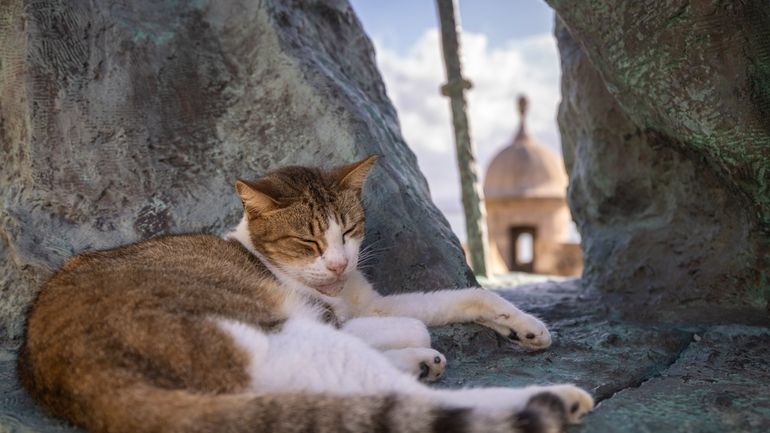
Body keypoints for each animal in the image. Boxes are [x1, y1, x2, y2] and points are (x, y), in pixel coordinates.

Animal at [19, 155, 592, 432]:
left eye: (351, 230)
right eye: (307, 241)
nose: (339, 262)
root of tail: (78, 379)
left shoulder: (368, 300)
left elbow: (460, 298)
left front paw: (524, 325)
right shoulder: (332, 316)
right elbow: (416, 323)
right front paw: (417, 347)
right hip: (269, 332)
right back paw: (554, 398)